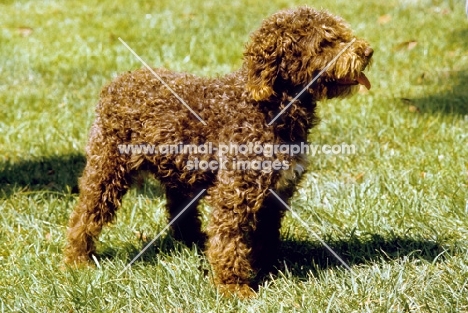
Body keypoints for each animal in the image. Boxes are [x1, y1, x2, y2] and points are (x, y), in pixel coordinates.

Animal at [65, 6, 372, 296]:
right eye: (325, 42)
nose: (367, 51)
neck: (268, 108)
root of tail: (116, 83)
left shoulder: (276, 194)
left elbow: (265, 237)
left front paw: (267, 269)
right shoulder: (236, 191)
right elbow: (230, 240)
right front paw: (232, 286)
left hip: (178, 171)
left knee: (179, 213)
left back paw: (194, 242)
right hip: (107, 167)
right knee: (86, 214)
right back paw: (76, 258)